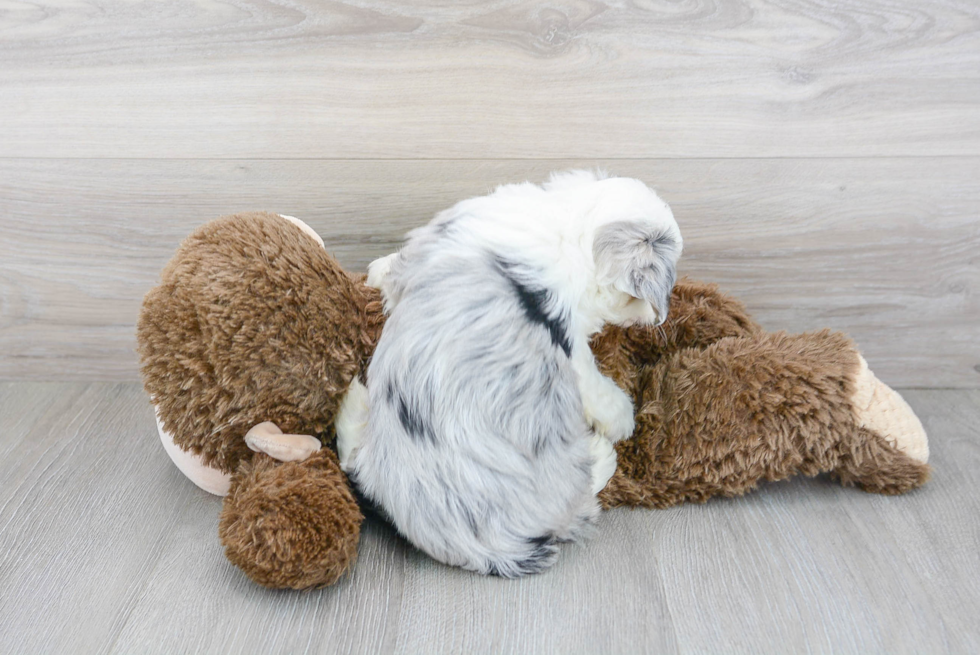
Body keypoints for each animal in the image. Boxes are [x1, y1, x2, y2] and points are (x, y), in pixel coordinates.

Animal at [336, 170, 680, 580]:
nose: (658, 319)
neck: (570, 225)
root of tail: (488, 551)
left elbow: (393, 269)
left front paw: (376, 273)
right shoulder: (569, 346)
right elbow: (595, 386)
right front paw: (623, 419)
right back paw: (602, 456)